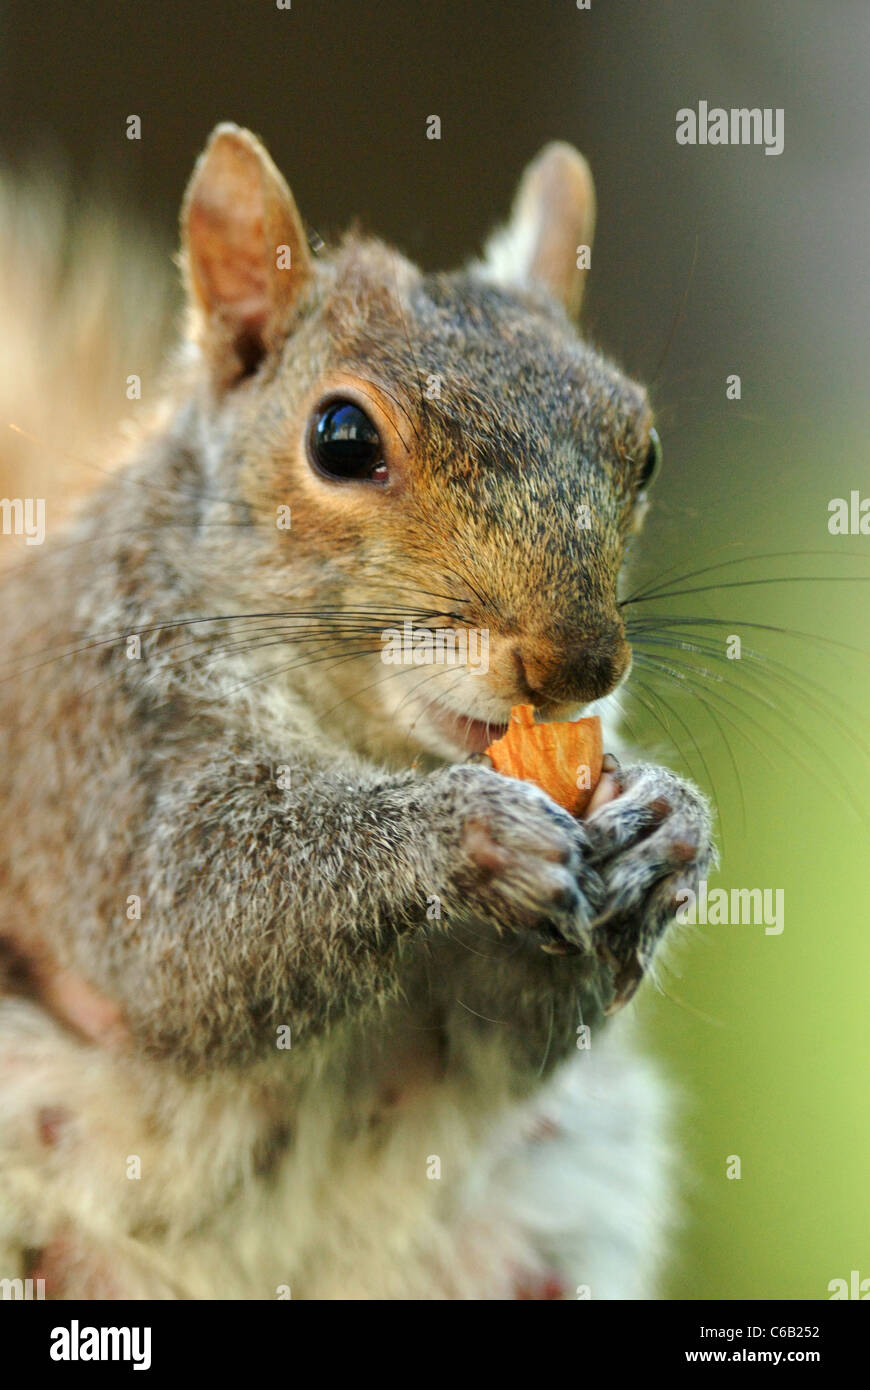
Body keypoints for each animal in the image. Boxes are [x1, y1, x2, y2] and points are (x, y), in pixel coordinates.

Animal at [0, 125, 711, 1295]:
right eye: (339, 437)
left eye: (642, 449)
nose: (577, 664)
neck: (366, 739)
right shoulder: (93, 752)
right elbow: (183, 920)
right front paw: (463, 831)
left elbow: (500, 1039)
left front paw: (669, 824)